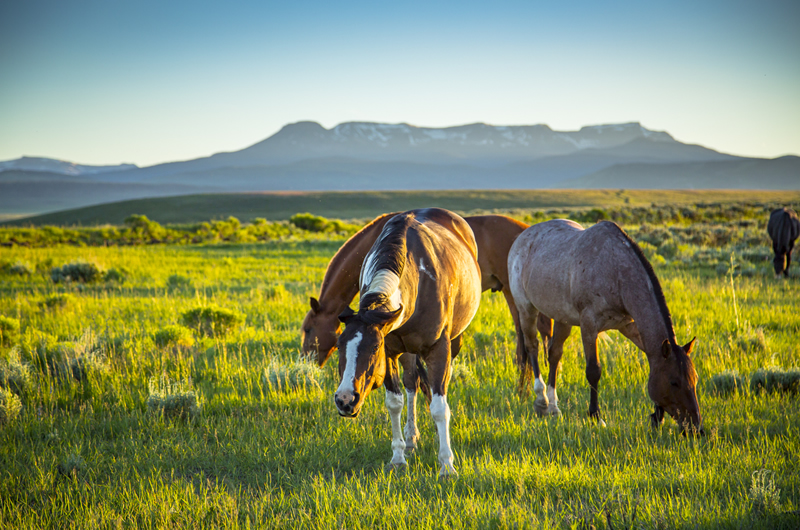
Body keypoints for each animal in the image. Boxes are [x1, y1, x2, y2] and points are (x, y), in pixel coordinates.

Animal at [332, 206, 482, 474]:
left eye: (374, 347)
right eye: (339, 346)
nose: (345, 400)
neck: (419, 279)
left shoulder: (438, 349)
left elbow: (439, 407)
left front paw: (447, 465)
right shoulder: (391, 352)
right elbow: (395, 402)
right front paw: (398, 457)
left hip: (454, 342)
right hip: (408, 351)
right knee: (412, 383)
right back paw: (411, 439)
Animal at [510, 217, 704, 432]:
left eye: (694, 379)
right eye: (674, 382)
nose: (695, 428)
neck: (616, 272)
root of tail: (523, 237)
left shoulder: (629, 326)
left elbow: (652, 359)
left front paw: (657, 416)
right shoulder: (589, 325)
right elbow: (593, 371)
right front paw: (595, 416)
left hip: (562, 318)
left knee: (554, 354)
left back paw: (553, 407)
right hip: (526, 308)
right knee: (532, 347)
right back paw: (541, 400)